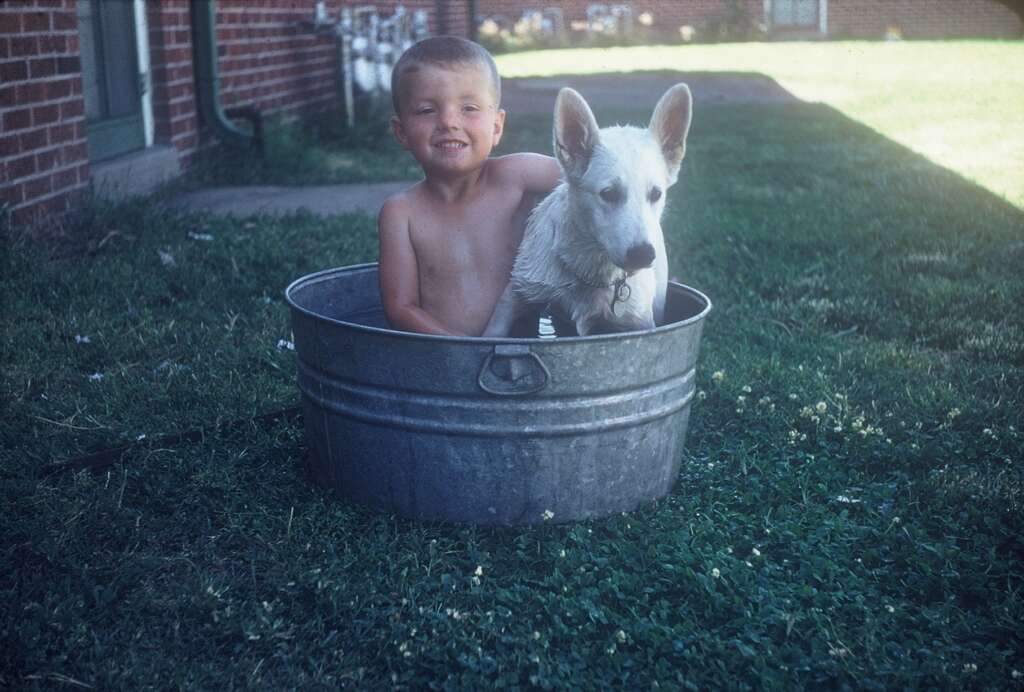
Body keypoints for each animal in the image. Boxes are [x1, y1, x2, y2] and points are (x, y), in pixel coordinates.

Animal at [481, 83, 692, 337]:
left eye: (656, 194)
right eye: (608, 193)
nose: (643, 254)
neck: (592, 271)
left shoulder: (639, 324)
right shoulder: (515, 294)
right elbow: (494, 330)